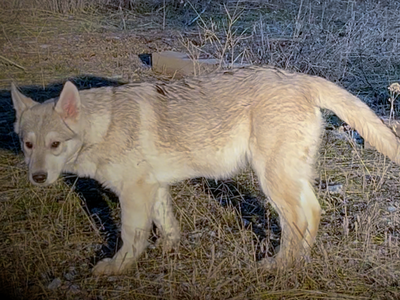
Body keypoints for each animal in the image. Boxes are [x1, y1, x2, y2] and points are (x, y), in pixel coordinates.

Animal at [10, 67, 400, 274]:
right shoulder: (153, 188)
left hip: (272, 181)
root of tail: (300, 78)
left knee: (298, 221)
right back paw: (300, 261)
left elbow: (130, 237)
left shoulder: (133, 193)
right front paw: (168, 251)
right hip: (288, 177)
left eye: (55, 145)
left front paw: (116, 269)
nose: (37, 178)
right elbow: (166, 225)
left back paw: (278, 265)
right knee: (314, 212)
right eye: (28, 145)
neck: (101, 126)